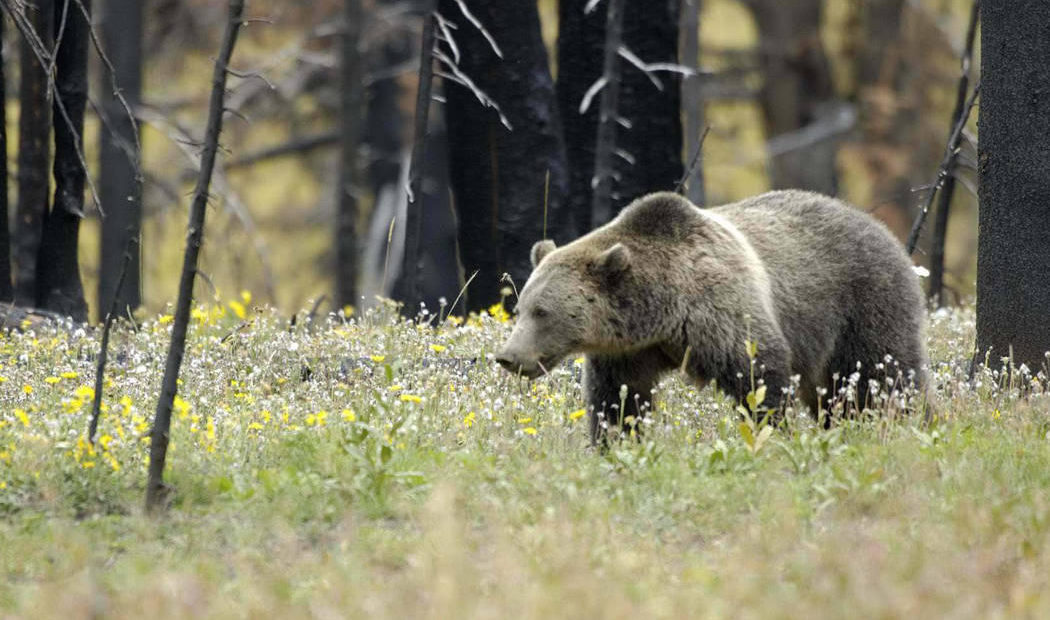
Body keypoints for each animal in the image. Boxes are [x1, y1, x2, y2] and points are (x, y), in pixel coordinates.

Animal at [495, 189, 932, 441]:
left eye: (542, 312)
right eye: (520, 308)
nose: (508, 357)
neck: (662, 310)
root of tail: (880, 227)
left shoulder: (720, 312)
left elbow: (759, 377)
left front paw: (773, 434)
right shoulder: (629, 351)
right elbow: (619, 399)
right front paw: (617, 443)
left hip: (862, 302)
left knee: (883, 376)